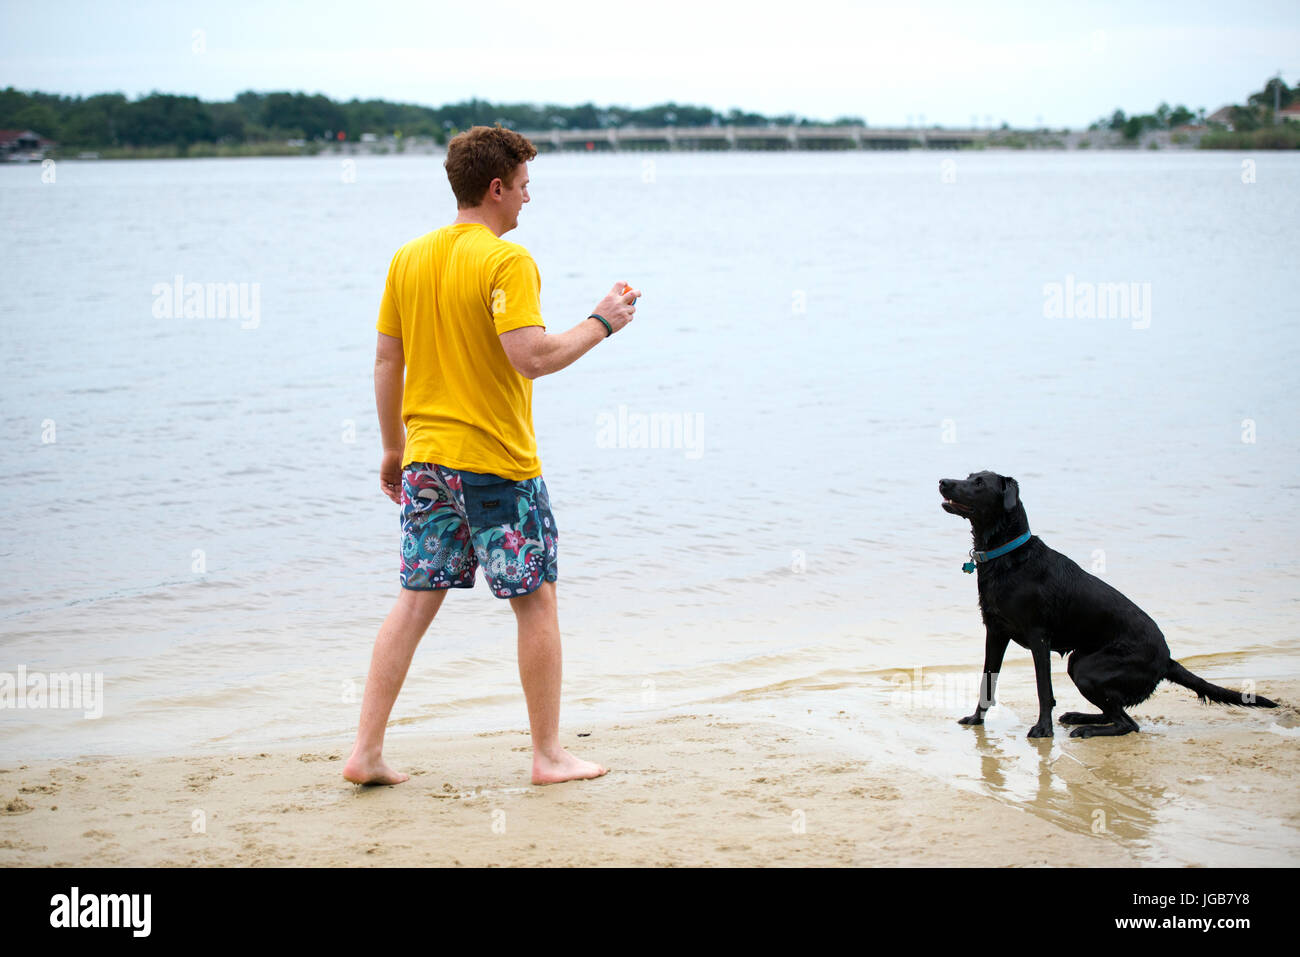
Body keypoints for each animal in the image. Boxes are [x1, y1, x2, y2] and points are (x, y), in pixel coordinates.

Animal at [941, 470, 1274, 738]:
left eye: (979, 483)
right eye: (968, 476)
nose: (943, 481)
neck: (1008, 556)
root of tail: (1167, 660)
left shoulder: (1038, 636)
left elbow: (1043, 689)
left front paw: (1043, 729)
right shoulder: (996, 630)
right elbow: (987, 681)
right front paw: (976, 719)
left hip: (1087, 668)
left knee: (1128, 723)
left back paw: (1086, 728)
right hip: (1082, 664)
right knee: (1116, 713)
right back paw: (1078, 716)